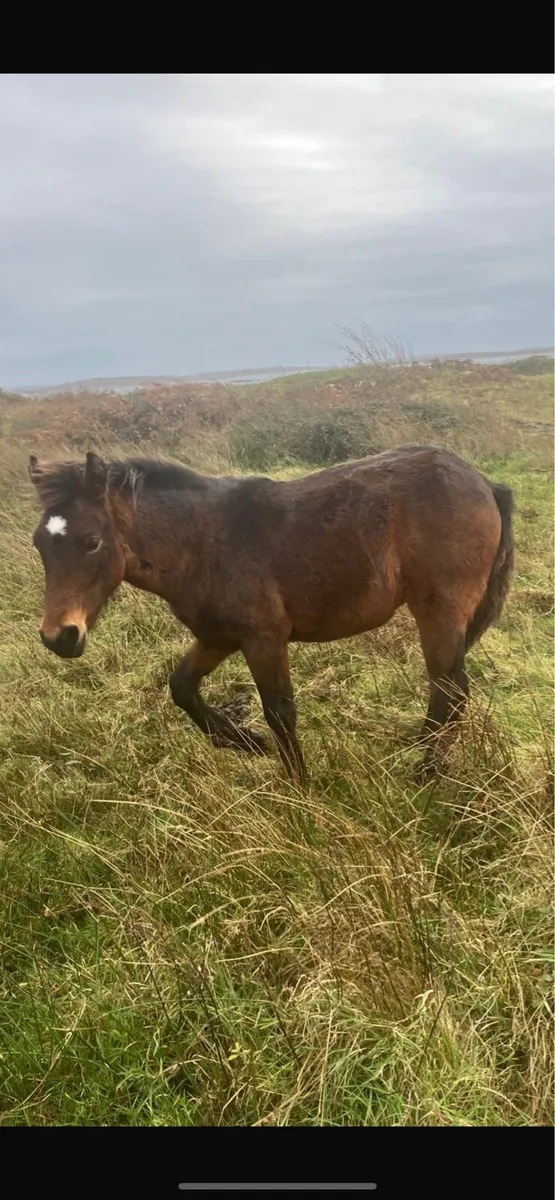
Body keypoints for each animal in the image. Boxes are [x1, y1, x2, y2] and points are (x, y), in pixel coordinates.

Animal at [28, 445, 514, 783]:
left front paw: (300, 789)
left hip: (439, 609)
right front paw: (246, 742)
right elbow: (182, 688)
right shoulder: (218, 636)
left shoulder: (264, 638)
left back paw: (427, 772)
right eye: (39, 543)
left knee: (449, 688)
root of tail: (485, 484)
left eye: (92, 541)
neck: (202, 541)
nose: (59, 637)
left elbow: (279, 711)